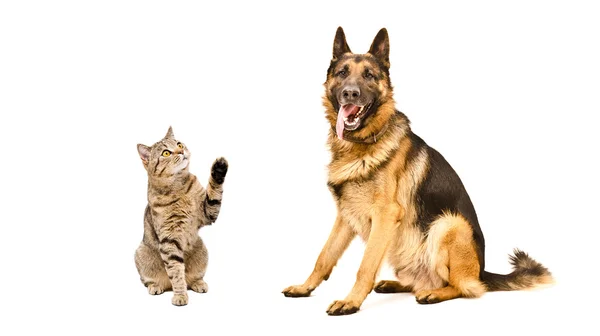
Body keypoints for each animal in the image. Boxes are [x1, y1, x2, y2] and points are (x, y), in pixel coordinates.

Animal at [134, 127, 227, 306]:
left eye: (179, 144)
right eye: (166, 153)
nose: (181, 151)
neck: (180, 187)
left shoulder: (208, 212)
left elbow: (214, 193)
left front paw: (219, 170)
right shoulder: (169, 239)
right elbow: (176, 271)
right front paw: (180, 295)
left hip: (201, 248)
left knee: (193, 278)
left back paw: (199, 283)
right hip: (141, 253)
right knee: (149, 280)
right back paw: (155, 286)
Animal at [282, 26, 552, 316]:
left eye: (369, 75)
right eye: (342, 72)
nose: (350, 93)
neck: (362, 145)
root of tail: (481, 271)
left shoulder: (385, 215)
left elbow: (365, 266)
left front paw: (351, 301)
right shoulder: (345, 215)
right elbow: (324, 256)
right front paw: (305, 287)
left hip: (448, 224)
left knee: (465, 287)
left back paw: (434, 293)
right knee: (422, 281)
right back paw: (396, 284)